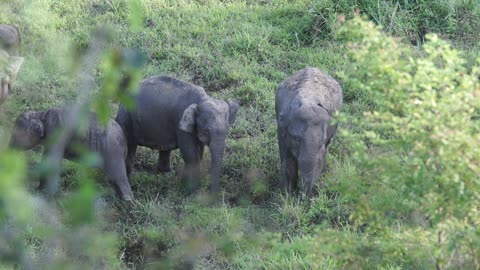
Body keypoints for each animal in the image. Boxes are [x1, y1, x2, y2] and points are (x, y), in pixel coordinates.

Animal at [9, 107, 137, 200]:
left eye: (15, 136)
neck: (41, 114)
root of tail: (124, 138)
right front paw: (39, 190)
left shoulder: (57, 134)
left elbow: (52, 162)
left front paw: (45, 195)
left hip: (113, 151)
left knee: (118, 175)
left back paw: (127, 202)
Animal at [276, 67, 344, 196]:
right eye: (297, 139)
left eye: (321, 142)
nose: (303, 196)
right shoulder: (282, 130)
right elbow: (288, 161)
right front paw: (289, 196)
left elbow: (318, 161)